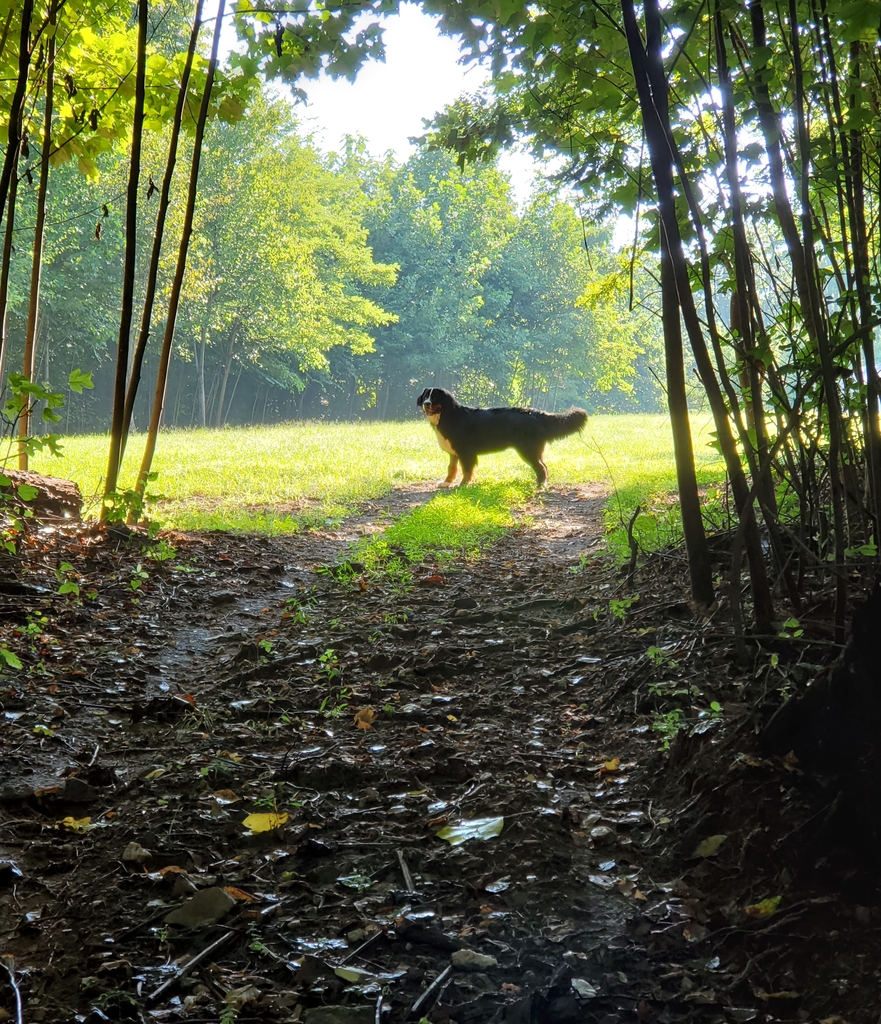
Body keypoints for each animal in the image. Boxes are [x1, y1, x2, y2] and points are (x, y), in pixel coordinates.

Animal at [417, 387, 587, 487]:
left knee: (541, 467)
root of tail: (535, 413)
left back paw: (540, 485)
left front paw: (463, 484)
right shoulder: (454, 453)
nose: (426, 404)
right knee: (543, 466)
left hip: (527, 450)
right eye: (425, 396)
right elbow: (452, 468)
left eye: (434, 398)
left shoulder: (466, 452)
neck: (447, 416)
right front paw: (446, 483)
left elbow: (466, 470)